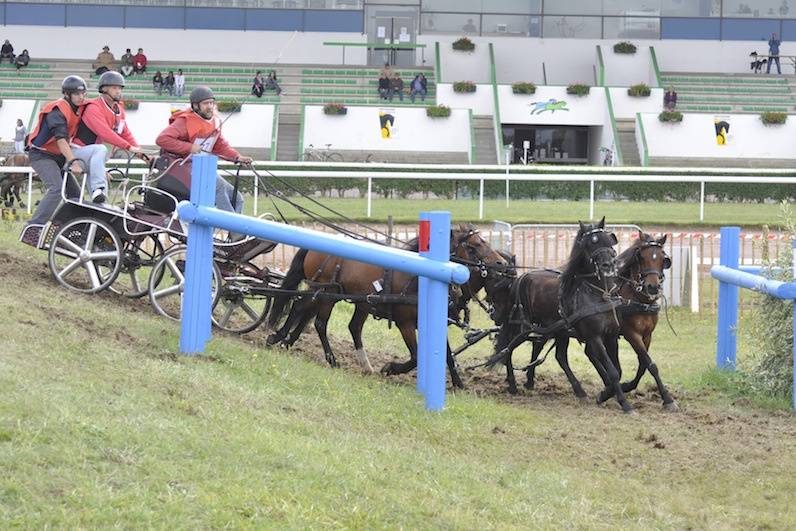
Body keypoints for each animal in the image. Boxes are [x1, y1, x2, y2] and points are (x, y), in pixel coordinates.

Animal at [266, 222, 504, 388]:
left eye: (484, 242)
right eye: (474, 246)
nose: (501, 263)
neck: (417, 276)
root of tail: (314, 248)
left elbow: (446, 354)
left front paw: (458, 383)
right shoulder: (405, 323)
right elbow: (416, 356)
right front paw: (391, 368)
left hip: (329, 293)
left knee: (305, 309)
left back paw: (283, 339)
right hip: (327, 294)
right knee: (320, 323)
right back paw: (331, 359)